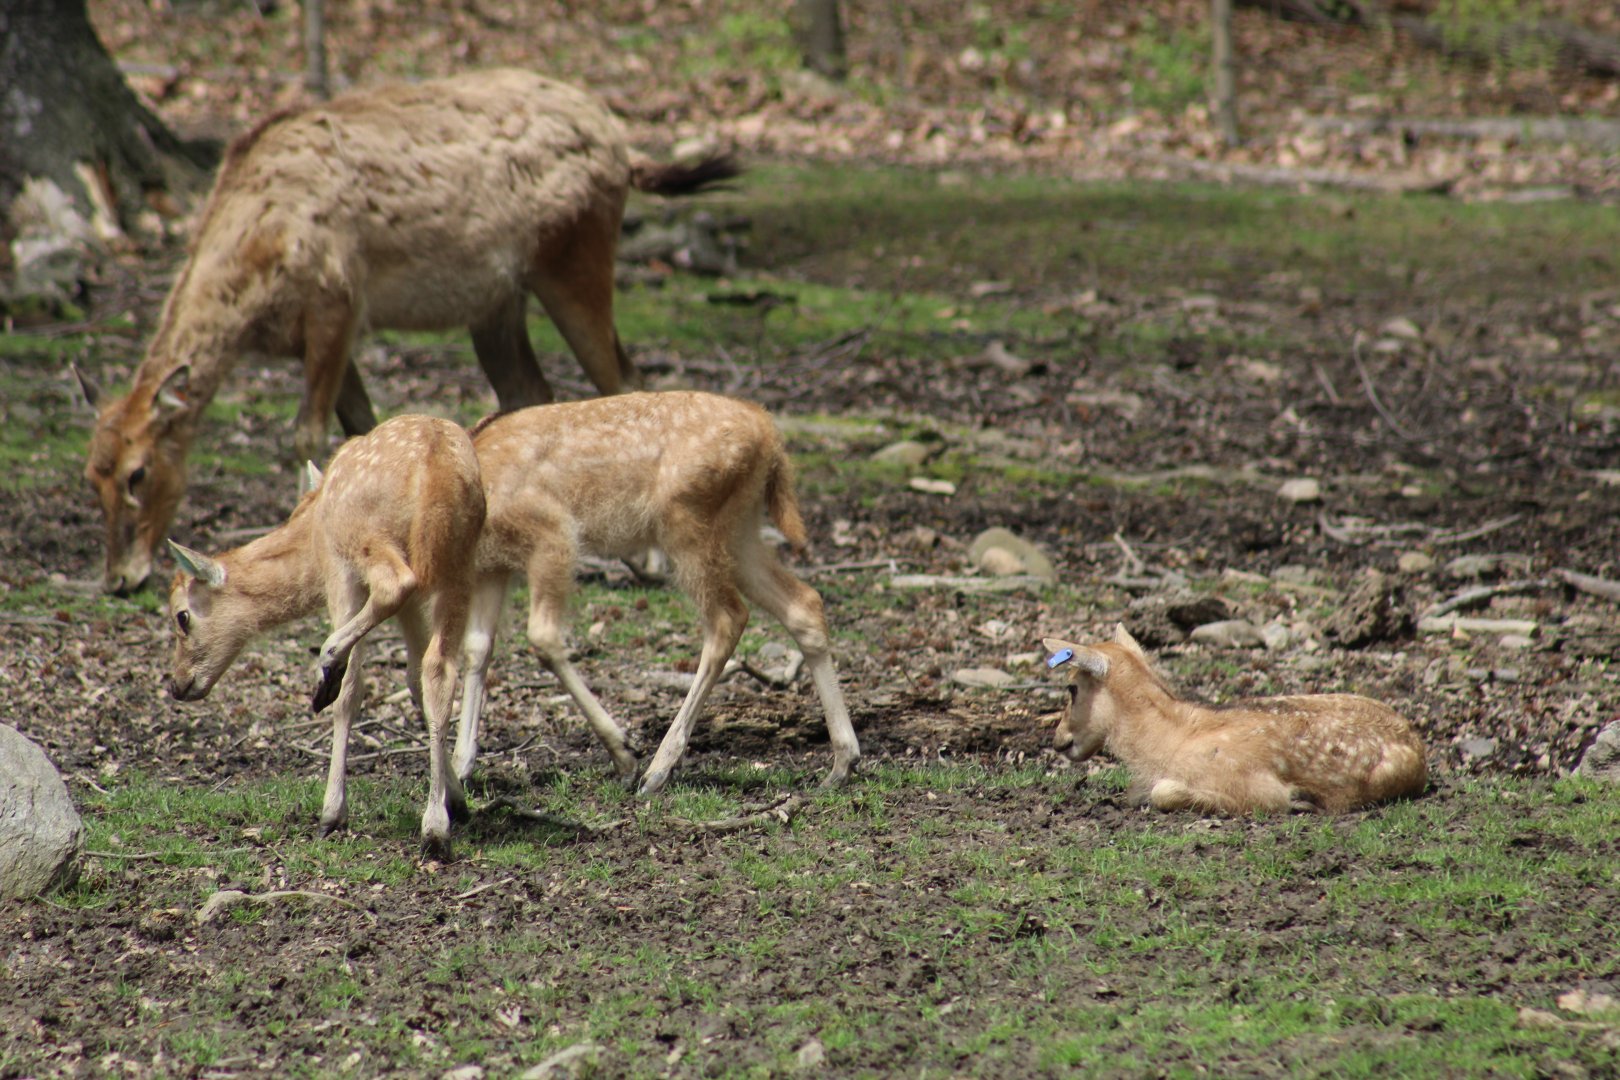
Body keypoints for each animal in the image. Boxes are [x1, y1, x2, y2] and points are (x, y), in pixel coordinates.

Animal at [79, 67, 739, 595]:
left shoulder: (337, 304)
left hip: (575, 256)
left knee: (622, 376)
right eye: (93, 476)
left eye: (139, 473)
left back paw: (647, 561)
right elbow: (362, 431)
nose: (118, 579)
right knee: (529, 391)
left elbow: (306, 434)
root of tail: (623, 149)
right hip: (496, 303)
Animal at [164, 414, 485, 859]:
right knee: (440, 669)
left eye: (182, 616)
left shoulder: (338, 570)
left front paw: (333, 812)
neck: (310, 536)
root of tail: (438, 468)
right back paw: (436, 827)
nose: (177, 683)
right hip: (459, 561)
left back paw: (327, 667)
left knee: (392, 588)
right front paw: (455, 799)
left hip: (366, 540)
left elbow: (354, 690)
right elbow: (417, 682)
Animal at [454, 391, 860, 796]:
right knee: (803, 603)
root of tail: (769, 433)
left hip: (688, 520)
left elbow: (542, 637)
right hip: (738, 525)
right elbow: (477, 646)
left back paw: (658, 769)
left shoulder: (552, 534)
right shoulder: (492, 568)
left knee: (728, 618)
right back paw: (842, 763)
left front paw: (624, 754)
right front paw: (460, 767)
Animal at [1042, 625, 1427, 815]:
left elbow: (1164, 792)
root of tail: (1421, 756)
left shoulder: (1254, 783)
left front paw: (1299, 800)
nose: (1059, 740)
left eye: (1072, 687)